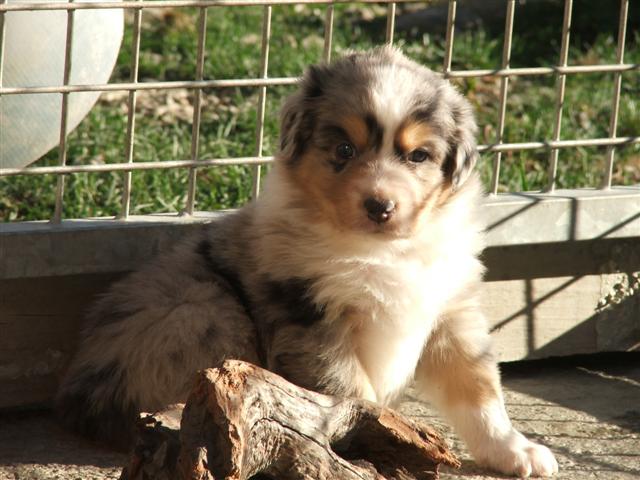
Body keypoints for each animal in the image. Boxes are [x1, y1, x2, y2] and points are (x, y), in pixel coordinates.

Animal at [56, 46, 558, 477]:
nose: (379, 206)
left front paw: (517, 451)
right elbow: (352, 394)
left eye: (418, 155)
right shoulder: (311, 315)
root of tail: (78, 392)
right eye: (343, 150)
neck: (381, 250)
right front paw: (370, 445)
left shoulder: (450, 310)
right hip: (202, 311)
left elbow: (479, 387)